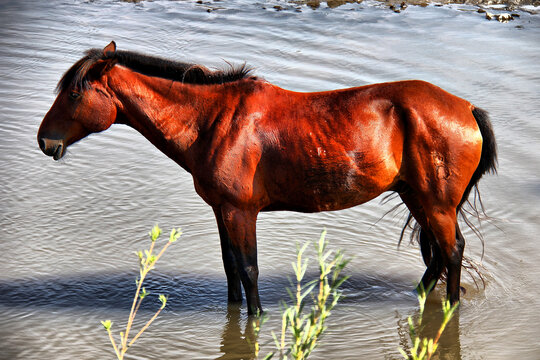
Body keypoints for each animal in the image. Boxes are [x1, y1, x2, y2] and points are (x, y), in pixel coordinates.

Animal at [37, 40, 498, 314]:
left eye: (74, 93)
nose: (45, 141)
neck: (211, 121)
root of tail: (466, 107)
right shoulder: (221, 209)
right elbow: (230, 268)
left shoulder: (242, 211)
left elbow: (249, 268)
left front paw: (256, 318)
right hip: (416, 198)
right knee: (438, 255)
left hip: (435, 203)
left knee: (452, 250)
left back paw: (449, 308)